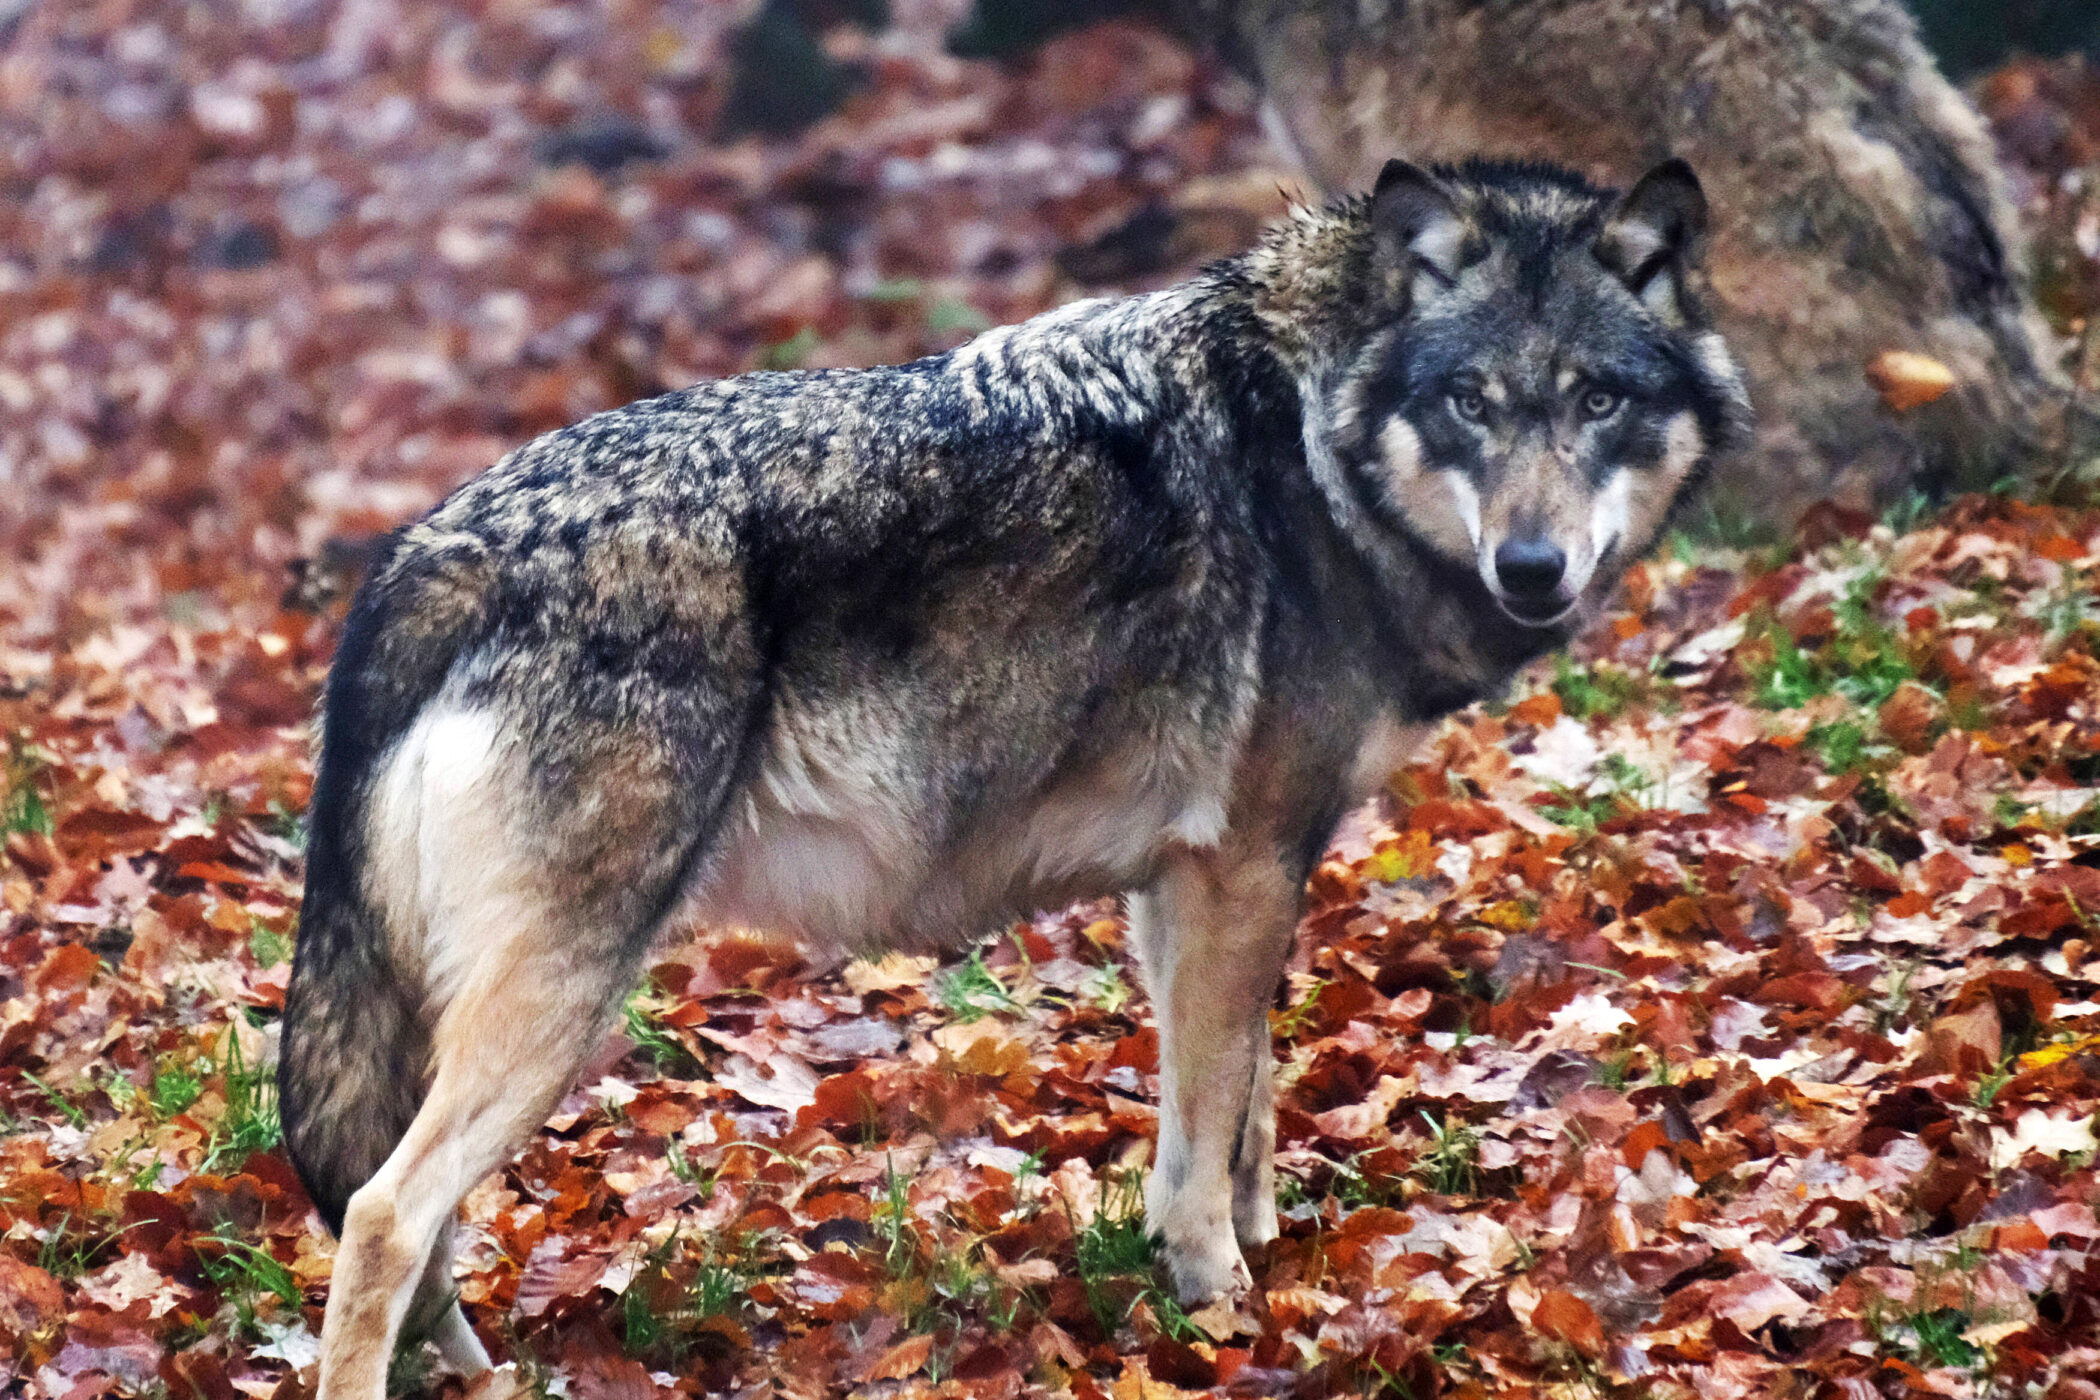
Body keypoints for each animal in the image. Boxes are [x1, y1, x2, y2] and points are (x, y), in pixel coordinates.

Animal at [279, 155, 1749, 1398]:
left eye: (1598, 401)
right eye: (1471, 404)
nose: (1532, 567)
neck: (1314, 457)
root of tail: (427, 552)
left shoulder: (1194, 880)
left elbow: (1234, 1107)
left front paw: (1253, 1254)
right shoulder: (1245, 866)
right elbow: (1209, 1122)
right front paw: (1224, 1307)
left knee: (414, 1222)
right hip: (563, 996)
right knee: (384, 1215)